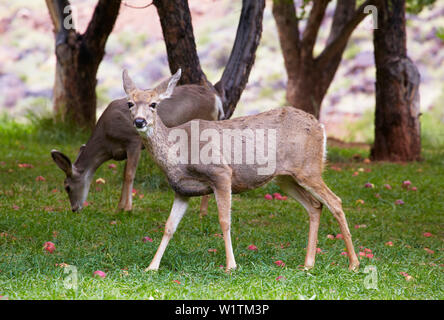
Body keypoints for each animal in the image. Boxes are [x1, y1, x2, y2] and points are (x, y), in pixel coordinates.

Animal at [51, 70, 222, 215]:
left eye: (67, 187)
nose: (74, 209)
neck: (107, 141)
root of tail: (217, 100)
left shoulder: (133, 141)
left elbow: (129, 175)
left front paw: (127, 208)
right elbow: (124, 174)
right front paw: (119, 207)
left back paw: (203, 212)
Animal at [122, 70, 360, 272]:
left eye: (153, 104)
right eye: (130, 103)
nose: (139, 121)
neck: (178, 151)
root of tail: (321, 126)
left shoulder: (221, 173)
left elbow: (224, 220)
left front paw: (231, 266)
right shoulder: (182, 190)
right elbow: (169, 226)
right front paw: (151, 267)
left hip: (308, 168)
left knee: (335, 201)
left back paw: (353, 264)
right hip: (286, 178)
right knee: (315, 206)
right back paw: (308, 264)